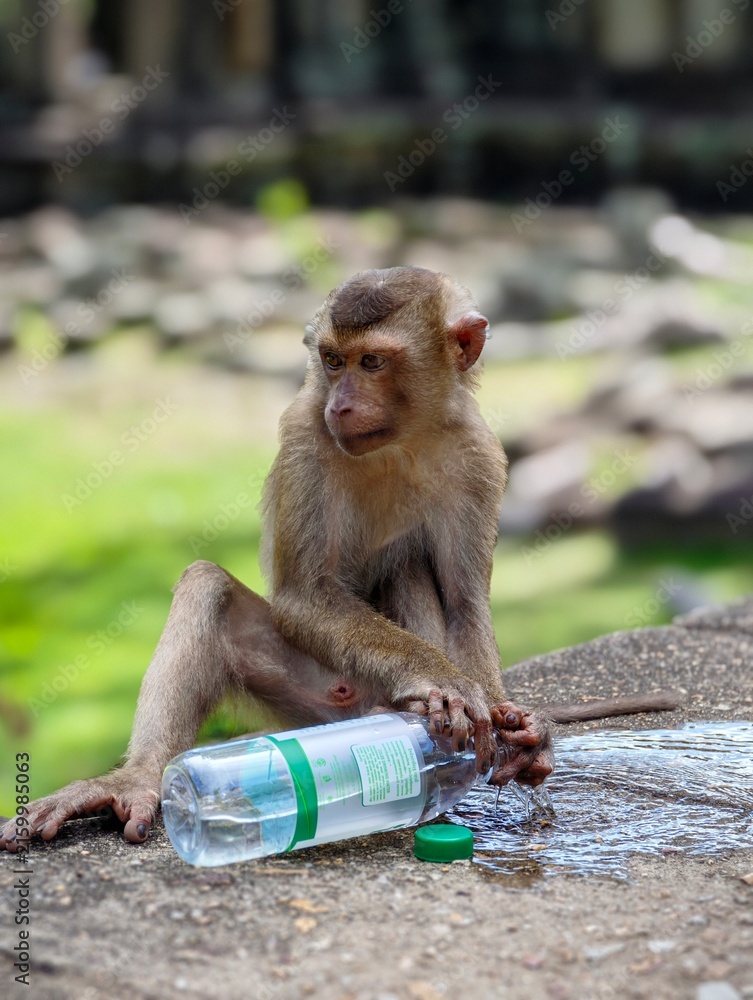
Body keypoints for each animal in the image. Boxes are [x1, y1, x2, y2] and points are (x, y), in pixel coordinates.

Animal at [0, 266, 673, 854]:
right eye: (332, 360)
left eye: (372, 362)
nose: (342, 404)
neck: (401, 439)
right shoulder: (305, 434)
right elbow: (303, 595)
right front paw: (447, 687)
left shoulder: (481, 454)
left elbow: (464, 603)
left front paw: (518, 730)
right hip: (307, 692)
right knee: (208, 585)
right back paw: (137, 780)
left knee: (410, 563)